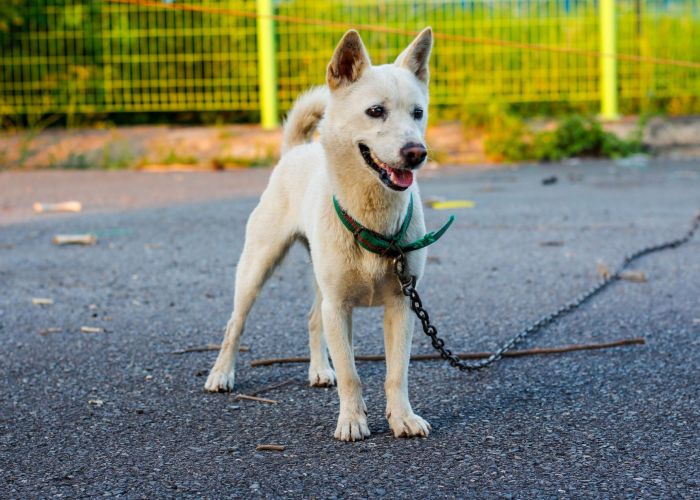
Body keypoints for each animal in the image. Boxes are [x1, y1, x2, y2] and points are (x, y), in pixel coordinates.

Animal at [205, 28, 438, 442]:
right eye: (375, 111)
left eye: (418, 113)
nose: (416, 153)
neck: (373, 219)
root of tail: (296, 151)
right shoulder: (339, 306)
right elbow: (351, 374)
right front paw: (352, 420)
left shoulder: (401, 304)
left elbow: (397, 373)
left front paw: (403, 417)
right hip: (256, 268)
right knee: (236, 323)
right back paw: (221, 374)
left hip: (320, 280)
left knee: (313, 318)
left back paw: (318, 369)